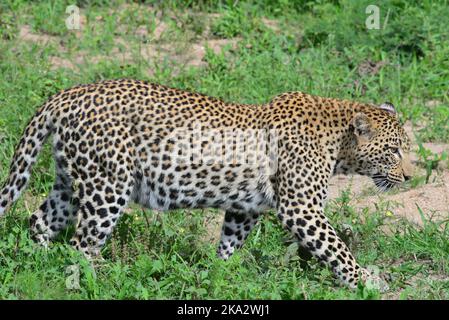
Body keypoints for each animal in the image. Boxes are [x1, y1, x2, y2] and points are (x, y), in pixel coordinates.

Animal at [0, 78, 412, 290]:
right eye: (393, 151)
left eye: (405, 148)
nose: (410, 177)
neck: (339, 142)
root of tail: (65, 95)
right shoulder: (302, 207)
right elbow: (337, 248)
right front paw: (366, 280)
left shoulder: (245, 208)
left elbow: (230, 243)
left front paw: (218, 275)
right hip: (107, 187)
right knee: (82, 246)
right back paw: (102, 281)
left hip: (71, 182)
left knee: (40, 222)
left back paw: (36, 266)